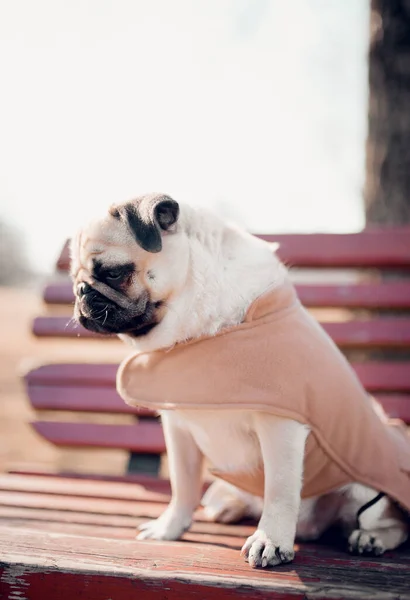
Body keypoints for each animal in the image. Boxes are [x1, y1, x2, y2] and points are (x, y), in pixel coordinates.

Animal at [70, 193, 406, 568]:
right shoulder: (179, 429)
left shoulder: (280, 427)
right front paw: (170, 528)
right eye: (74, 277)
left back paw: (370, 538)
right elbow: (182, 485)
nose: (82, 292)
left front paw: (270, 540)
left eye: (114, 272)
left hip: (366, 488)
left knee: (389, 520)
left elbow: (280, 489)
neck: (199, 330)